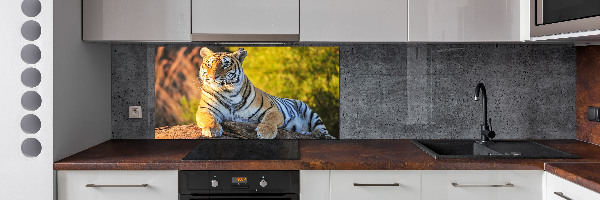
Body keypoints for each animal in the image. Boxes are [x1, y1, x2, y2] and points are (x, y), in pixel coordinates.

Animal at [196, 47, 328, 140]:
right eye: (209, 65)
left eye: (225, 65)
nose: (213, 77)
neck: (228, 93)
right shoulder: (204, 109)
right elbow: (208, 118)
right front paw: (212, 129)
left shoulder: (273, 109)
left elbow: (270, 119)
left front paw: (265, 132)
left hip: (309, 112)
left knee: (323, 130)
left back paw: (318, 134)